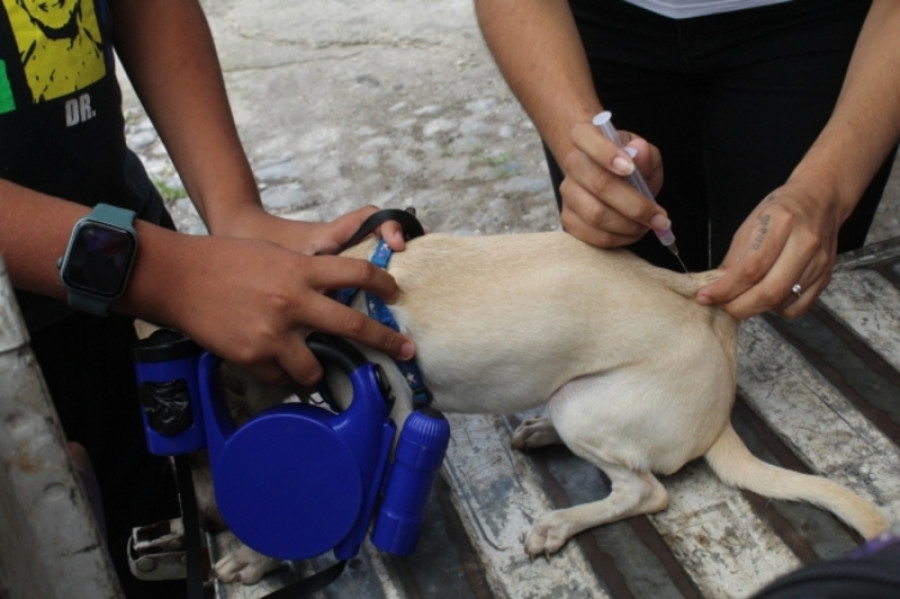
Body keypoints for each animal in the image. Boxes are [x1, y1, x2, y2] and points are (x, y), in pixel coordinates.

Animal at [211, 229, 884, 580]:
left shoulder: (389, 421)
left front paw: (255, 555)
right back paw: (537, 435)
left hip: (582, 407)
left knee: (646, 492)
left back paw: (560, 522)